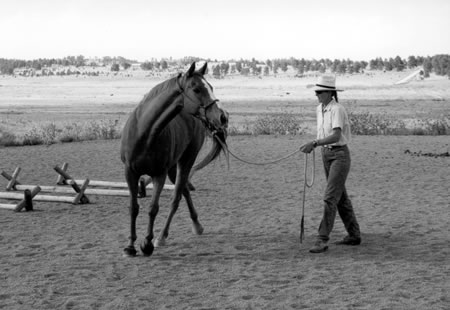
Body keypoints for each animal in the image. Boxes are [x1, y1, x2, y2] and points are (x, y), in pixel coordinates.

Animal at [119, 62, 229, 256]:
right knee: (184, 190)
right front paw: (130, 246)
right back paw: (196, 225)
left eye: (211, 87)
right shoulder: (130, 173)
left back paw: (162, 236)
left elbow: (153, 209)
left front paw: (147, 244)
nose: (222, 117)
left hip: (185, 161)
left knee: (176, 197)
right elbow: (134, 208)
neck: (144, 133)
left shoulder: (159, 175)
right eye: (196, 88)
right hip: (173, 169)